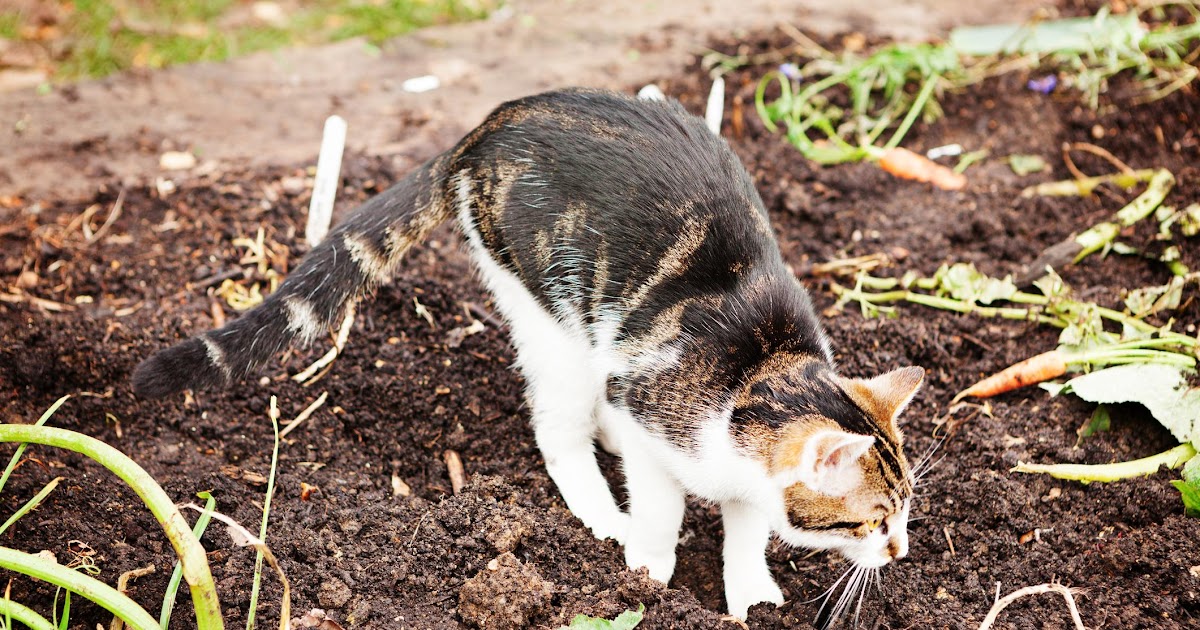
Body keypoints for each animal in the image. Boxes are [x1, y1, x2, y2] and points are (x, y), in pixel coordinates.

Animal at [138, 88, 926, 624]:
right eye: (872, 520)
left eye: (906, 512)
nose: (902, 553)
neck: (759, 372)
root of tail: (491, 123)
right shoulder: (653, 419)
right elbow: (662, 506)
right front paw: (648, 569)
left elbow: (746, 528)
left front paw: (751, 593)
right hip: (547, 308)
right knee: (558, 425)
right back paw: (601, 511)